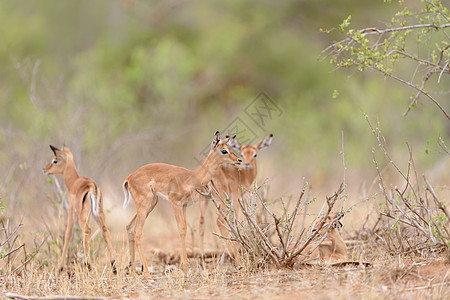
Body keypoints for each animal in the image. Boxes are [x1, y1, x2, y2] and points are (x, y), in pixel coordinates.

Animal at [122, 130, 243, 276]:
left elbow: (184, 229)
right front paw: (185, 267)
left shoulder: (184, 206)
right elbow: (181, 229)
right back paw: (146, 274)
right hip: (144, 205)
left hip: (151, 203)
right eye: (224, 151)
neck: (192, 177)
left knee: (129, 227)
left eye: (230, 148)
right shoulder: (175, 203)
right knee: (137, 232)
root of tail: (129, 177)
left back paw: (132, 270)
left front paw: (185, 266)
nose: (239, 160)